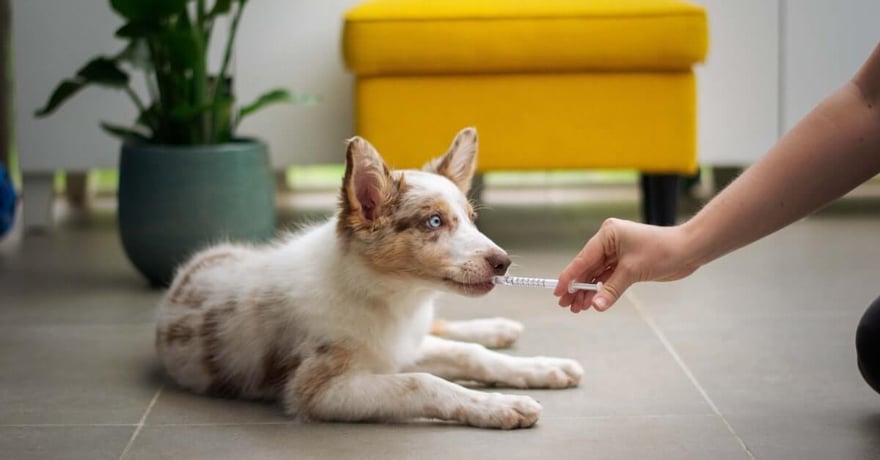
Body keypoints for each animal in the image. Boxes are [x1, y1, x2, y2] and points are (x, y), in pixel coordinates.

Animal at [156, 127, 584, 430]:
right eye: (434, 221)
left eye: (471, 219)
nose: (503, 263)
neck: (388, 297)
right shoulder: (319, 390)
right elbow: (424, 382)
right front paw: (501, 405)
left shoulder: (401, 345)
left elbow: (470, 355)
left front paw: (540, 369)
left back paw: (498, 329)